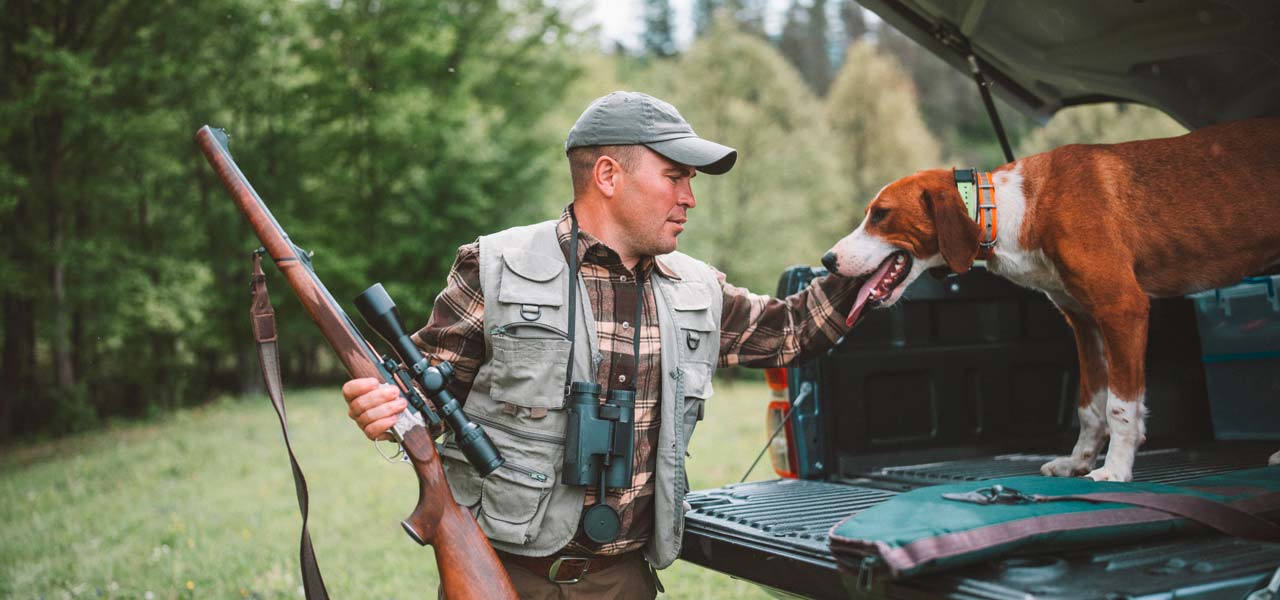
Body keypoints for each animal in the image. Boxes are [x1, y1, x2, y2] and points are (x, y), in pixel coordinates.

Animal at [819, 118, 1280, 481]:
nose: (827, 259)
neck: (1014, 207)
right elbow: (1090, 407)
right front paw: (1078, 461)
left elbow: (1120, 407)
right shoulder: (1086, 322)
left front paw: (1115, 470)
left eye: (880, 215)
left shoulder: (1122, 308)